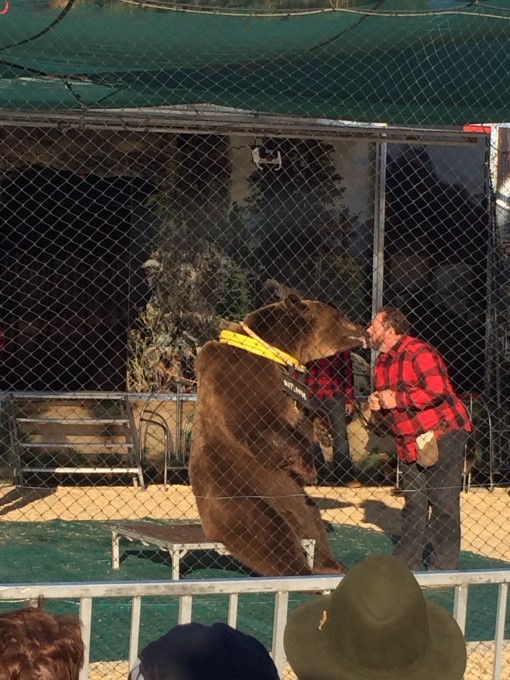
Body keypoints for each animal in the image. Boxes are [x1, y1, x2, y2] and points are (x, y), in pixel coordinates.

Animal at [189, 294, 364, 576]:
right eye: (339, 316)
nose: (362, 328)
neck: (272, 350)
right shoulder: (236, 379)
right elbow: (258, 425)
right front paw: (309, 469)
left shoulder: (287, 390)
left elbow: (301, 417)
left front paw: (324, 430)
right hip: (237, 494)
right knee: (269, 534)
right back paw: (300, 570)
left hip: (288, 491)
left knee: (310, 520)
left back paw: (331, 564)